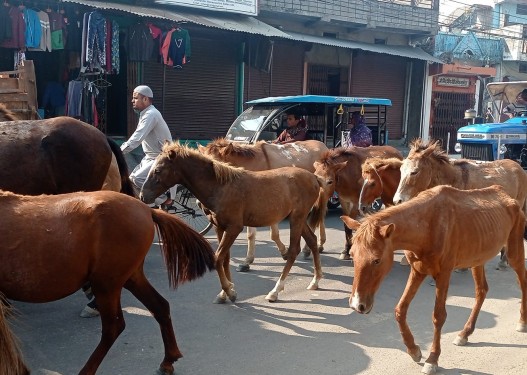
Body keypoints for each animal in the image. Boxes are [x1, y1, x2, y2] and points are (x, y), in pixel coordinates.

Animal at [0, 191, 216, 375]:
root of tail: (147, 209)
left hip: (107, 283)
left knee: (113, 327)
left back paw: (87, 370)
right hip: (131, 278)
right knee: (160, 307)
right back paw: (168, 361)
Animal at [199, 138, 330, 270]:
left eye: (213, 168)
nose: (199, 204)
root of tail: (322, 144)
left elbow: (272, 234)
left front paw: (284, 252)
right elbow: (253, 235)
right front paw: (248, 261)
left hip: (323, 194)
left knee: (321, 215)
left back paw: (316, 246)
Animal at [342, 185, 527, 375]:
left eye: (377, 260)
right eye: (352, 255)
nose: (357, 305)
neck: (427, 226)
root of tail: (507, 196)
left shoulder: (444, 274)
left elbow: (438, 316)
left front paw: (432, 359)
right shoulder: (417, 271)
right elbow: (400, 310)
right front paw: (413, 350)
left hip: (514, 251)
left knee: (522, 282)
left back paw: (522, 322)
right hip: (477, 259)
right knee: (481, 291)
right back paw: (465, 333)